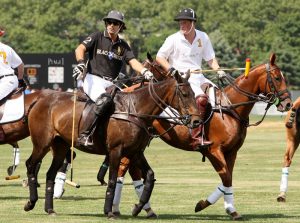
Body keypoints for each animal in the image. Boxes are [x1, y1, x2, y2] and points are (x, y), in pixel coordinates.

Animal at [23, 72, 202, 218]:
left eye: (194, 93)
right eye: (185, 94)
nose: (196, 121)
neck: (135, 109)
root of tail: (38, 101)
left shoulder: (136, 152)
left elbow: (150, 176)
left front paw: (138, 208)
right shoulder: (116, 150)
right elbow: (112, 180)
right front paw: (109, 211)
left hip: (60, 146)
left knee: (49, 174)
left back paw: (49, 209)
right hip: (42, 143)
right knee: (31, 164)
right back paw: (30, 202)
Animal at [108, 53, 292, 220]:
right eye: (277, 78)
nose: (288, 103)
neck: (230, 108)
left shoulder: (232, 151)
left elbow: (228, 179)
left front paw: (228, 209)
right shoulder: (213, 150)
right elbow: (226, 177)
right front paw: (211, 206)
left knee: (129, 170)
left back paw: (142, 209)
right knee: (123, 169)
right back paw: (120, 209)